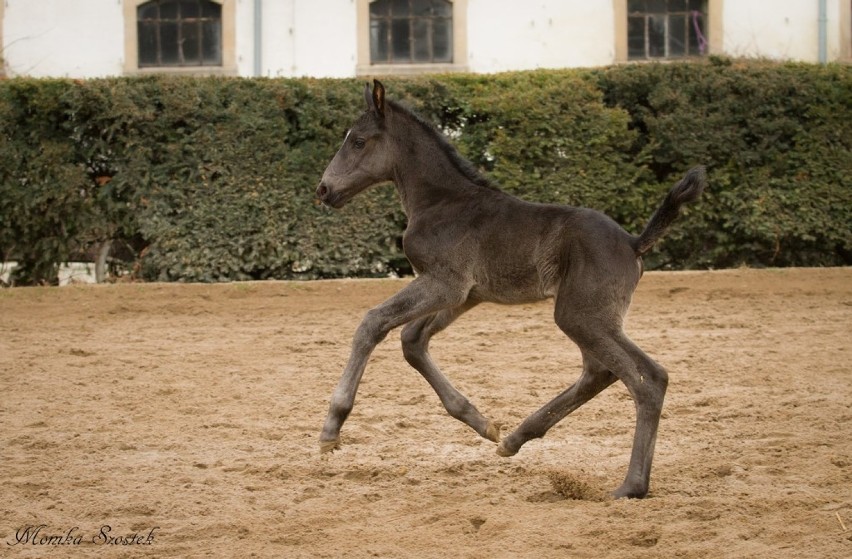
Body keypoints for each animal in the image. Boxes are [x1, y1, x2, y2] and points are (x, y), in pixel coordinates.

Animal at [314, 80, 704, 498]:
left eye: (358, 141)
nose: (323, 189)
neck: (442, 202)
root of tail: (634, 243)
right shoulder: (466, 295)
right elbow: (412, 340)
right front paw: (481, 422)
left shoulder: (445, 284)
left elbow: (373, 323)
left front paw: (331, 429)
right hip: (594, 317)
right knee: (616, 372)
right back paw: (516, 439)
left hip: (580, 315)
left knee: (642, 381)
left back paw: (631, 485)